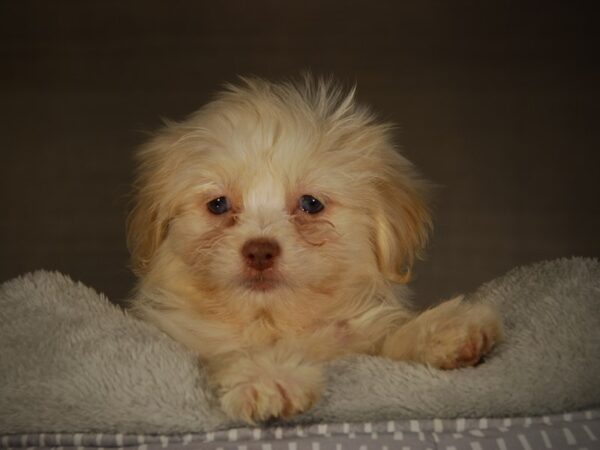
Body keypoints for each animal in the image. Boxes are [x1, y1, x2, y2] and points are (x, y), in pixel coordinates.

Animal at [126, 75, 502, 424]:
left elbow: (388, 343)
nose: (260, 251)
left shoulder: (362, 341)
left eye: (311, 204)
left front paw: (444, 330)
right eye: (218, 205)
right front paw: (267, 376)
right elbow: (234, 353)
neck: (274, 322)